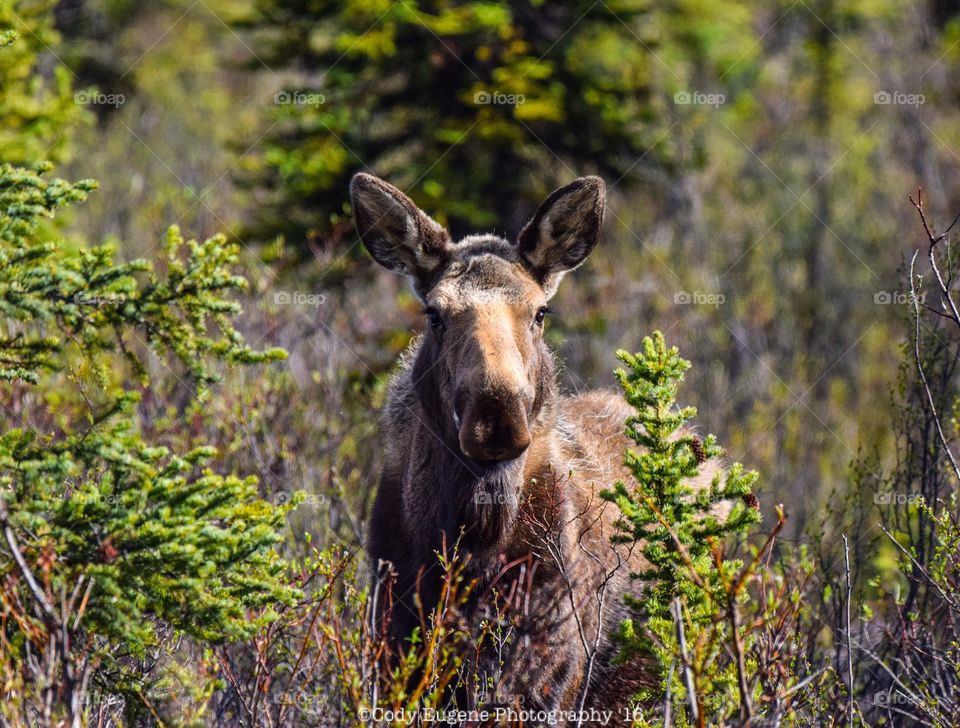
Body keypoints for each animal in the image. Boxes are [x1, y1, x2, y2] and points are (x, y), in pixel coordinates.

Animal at [351, 173, 717, 716]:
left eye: (540, 312)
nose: (495, 418)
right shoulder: (394, 654)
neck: (473, 545)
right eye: (434, 313)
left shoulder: (547, 676)